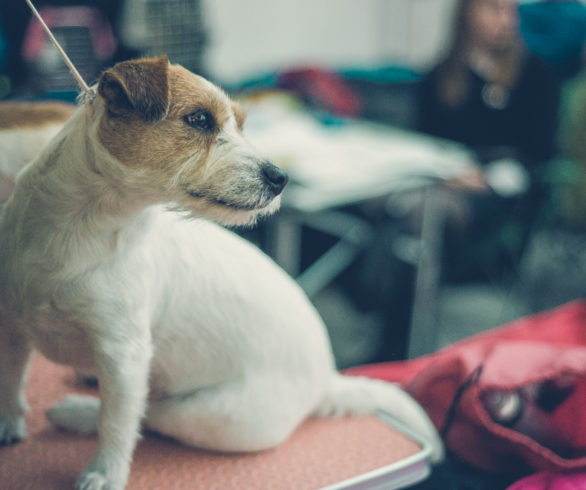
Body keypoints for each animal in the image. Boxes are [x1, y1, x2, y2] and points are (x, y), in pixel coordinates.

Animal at [0, 55, 440, 488]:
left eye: (241, 124)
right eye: (199, 120)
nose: (281, 178)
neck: (80, 227)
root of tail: (325, 382)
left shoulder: (123, 357)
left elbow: (117, 424)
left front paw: (103, 473)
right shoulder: (13, 328)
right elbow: (11, 379)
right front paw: (8, 424)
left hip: (209, 415)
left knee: (147, 416)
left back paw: (77, 412)